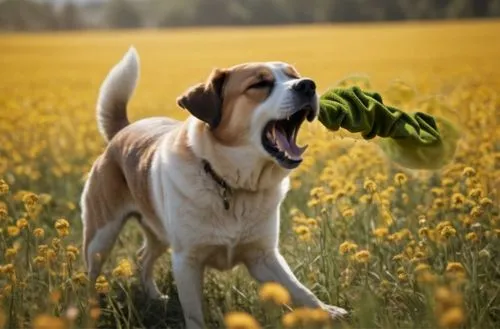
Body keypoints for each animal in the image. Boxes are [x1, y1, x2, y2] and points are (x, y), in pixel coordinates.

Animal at [82, 47, 348, 326]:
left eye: (293, 76)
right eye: (260, 84)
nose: (308, 85)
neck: (229, 183)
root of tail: (123, 131)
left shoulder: (263, 256)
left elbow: (299, 289)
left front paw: (326, 311)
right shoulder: (186, 261)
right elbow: (194, 315)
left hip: (158, 233)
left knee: (143, 256)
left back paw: (155, 296)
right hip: (101, 235)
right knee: (92, 271)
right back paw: (90, 308)